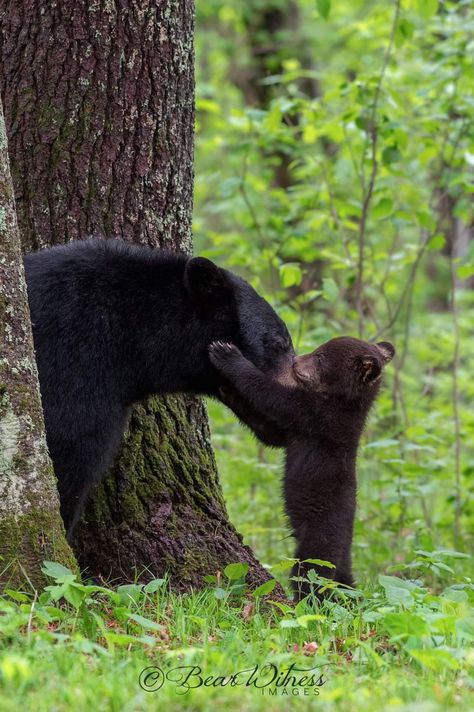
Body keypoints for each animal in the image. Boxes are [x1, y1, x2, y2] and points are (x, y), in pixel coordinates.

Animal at [209, 336, 394, 596]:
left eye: (320, 357)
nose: (295, 360)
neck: (342, 400)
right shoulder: (298, 429)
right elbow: (271, 433)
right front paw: (225, 391)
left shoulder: (316, 415)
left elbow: (273, 397)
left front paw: (226, 354)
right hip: (340, 561)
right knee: (342, 583)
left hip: (319, 542)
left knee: (311, 577)